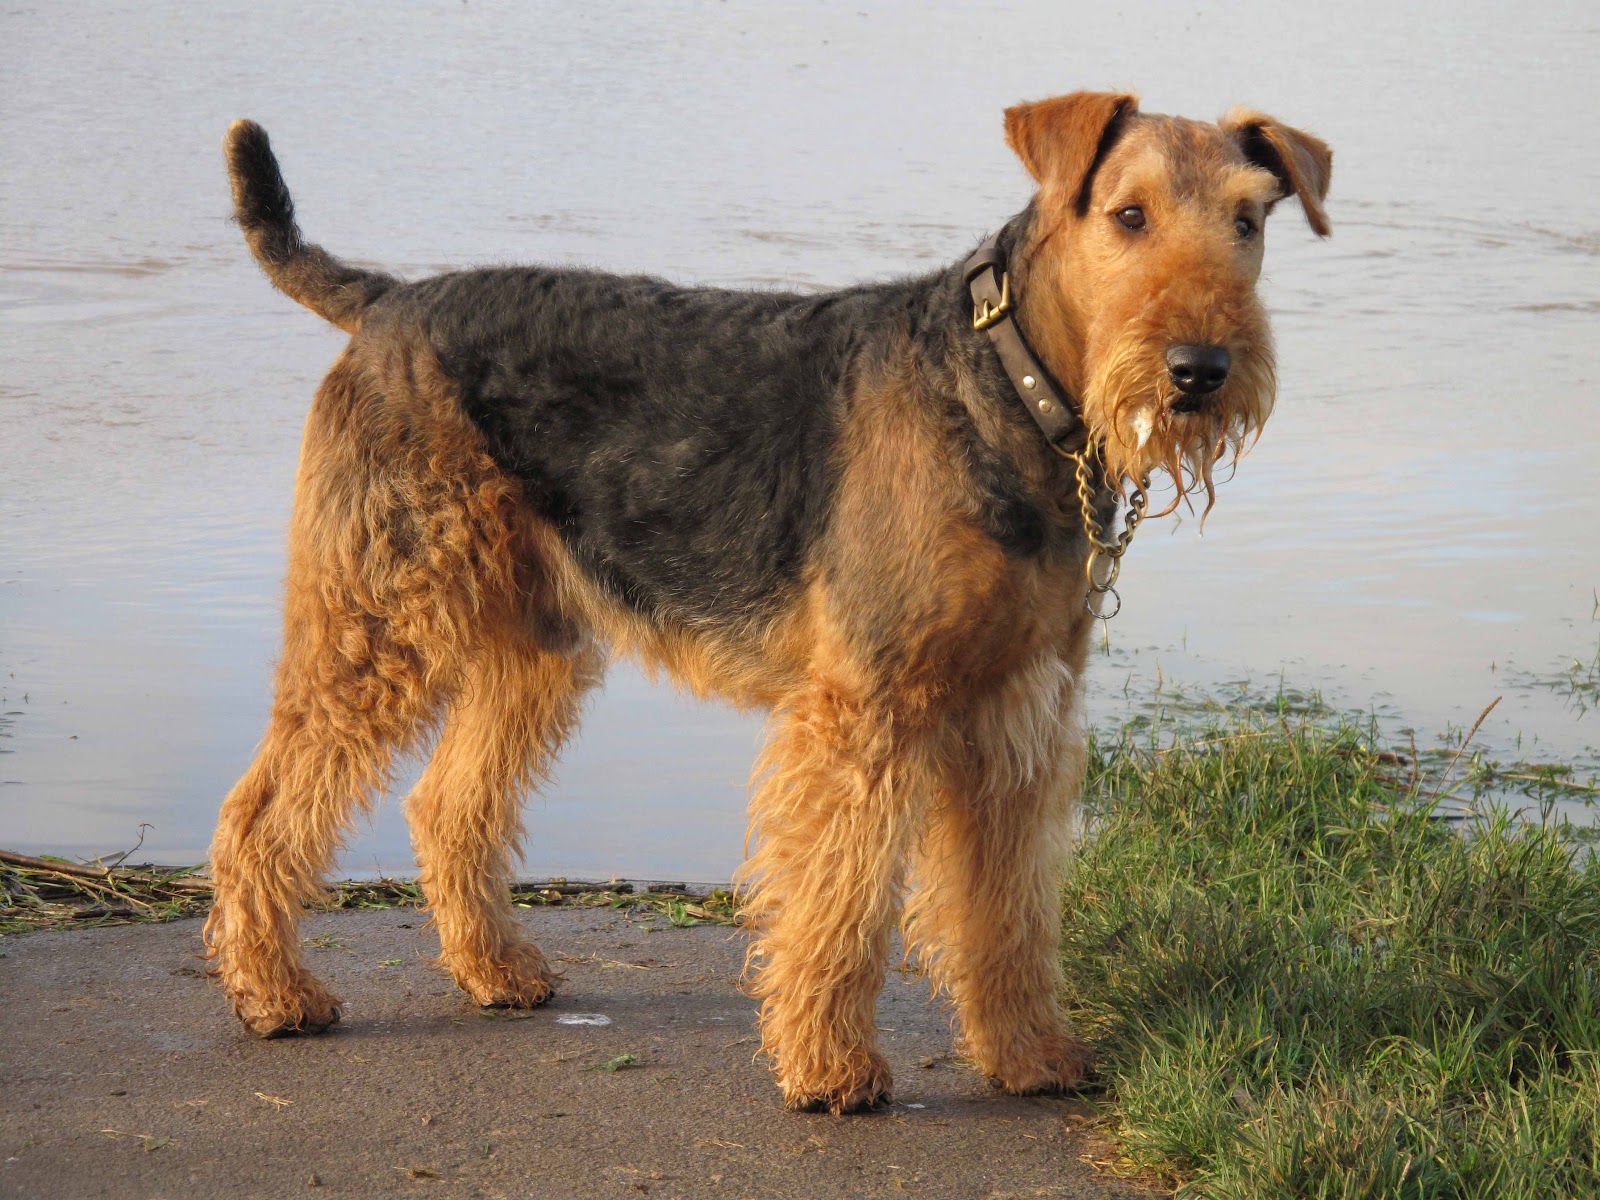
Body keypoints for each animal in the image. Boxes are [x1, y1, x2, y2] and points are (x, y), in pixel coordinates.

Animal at [206, 94, 1324, 1120]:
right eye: (1129, 215)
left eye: (1247, 219)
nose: (1200, 370)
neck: (1004, 388)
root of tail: (389, 304)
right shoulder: (867, 710)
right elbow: (841, 902)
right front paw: (830, 1071)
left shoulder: (1016, 713)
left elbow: (1005, 909)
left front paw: (1029, 1055)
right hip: (376, 621)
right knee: (260, 810)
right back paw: (277, 994)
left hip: (534, 642)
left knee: (447, 803)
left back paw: (496, 973)